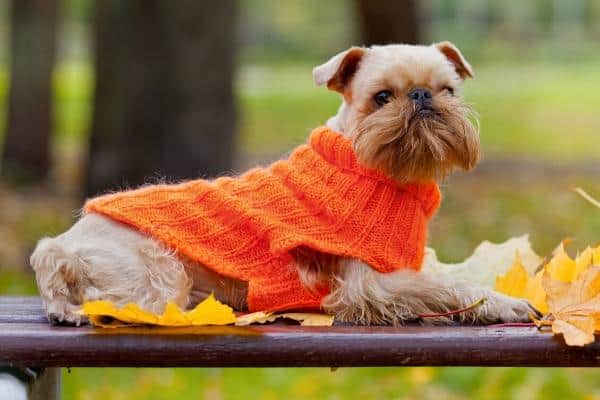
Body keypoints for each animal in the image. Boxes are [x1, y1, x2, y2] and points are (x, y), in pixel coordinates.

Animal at [29, 43, 536, 324]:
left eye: (448, 90)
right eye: (382, 98)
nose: (422, 96)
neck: (378, 172)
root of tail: (60, 244)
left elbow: (448, 275)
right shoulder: (370, 285)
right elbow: (445, 284)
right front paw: (503, 303)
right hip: (158, 276)